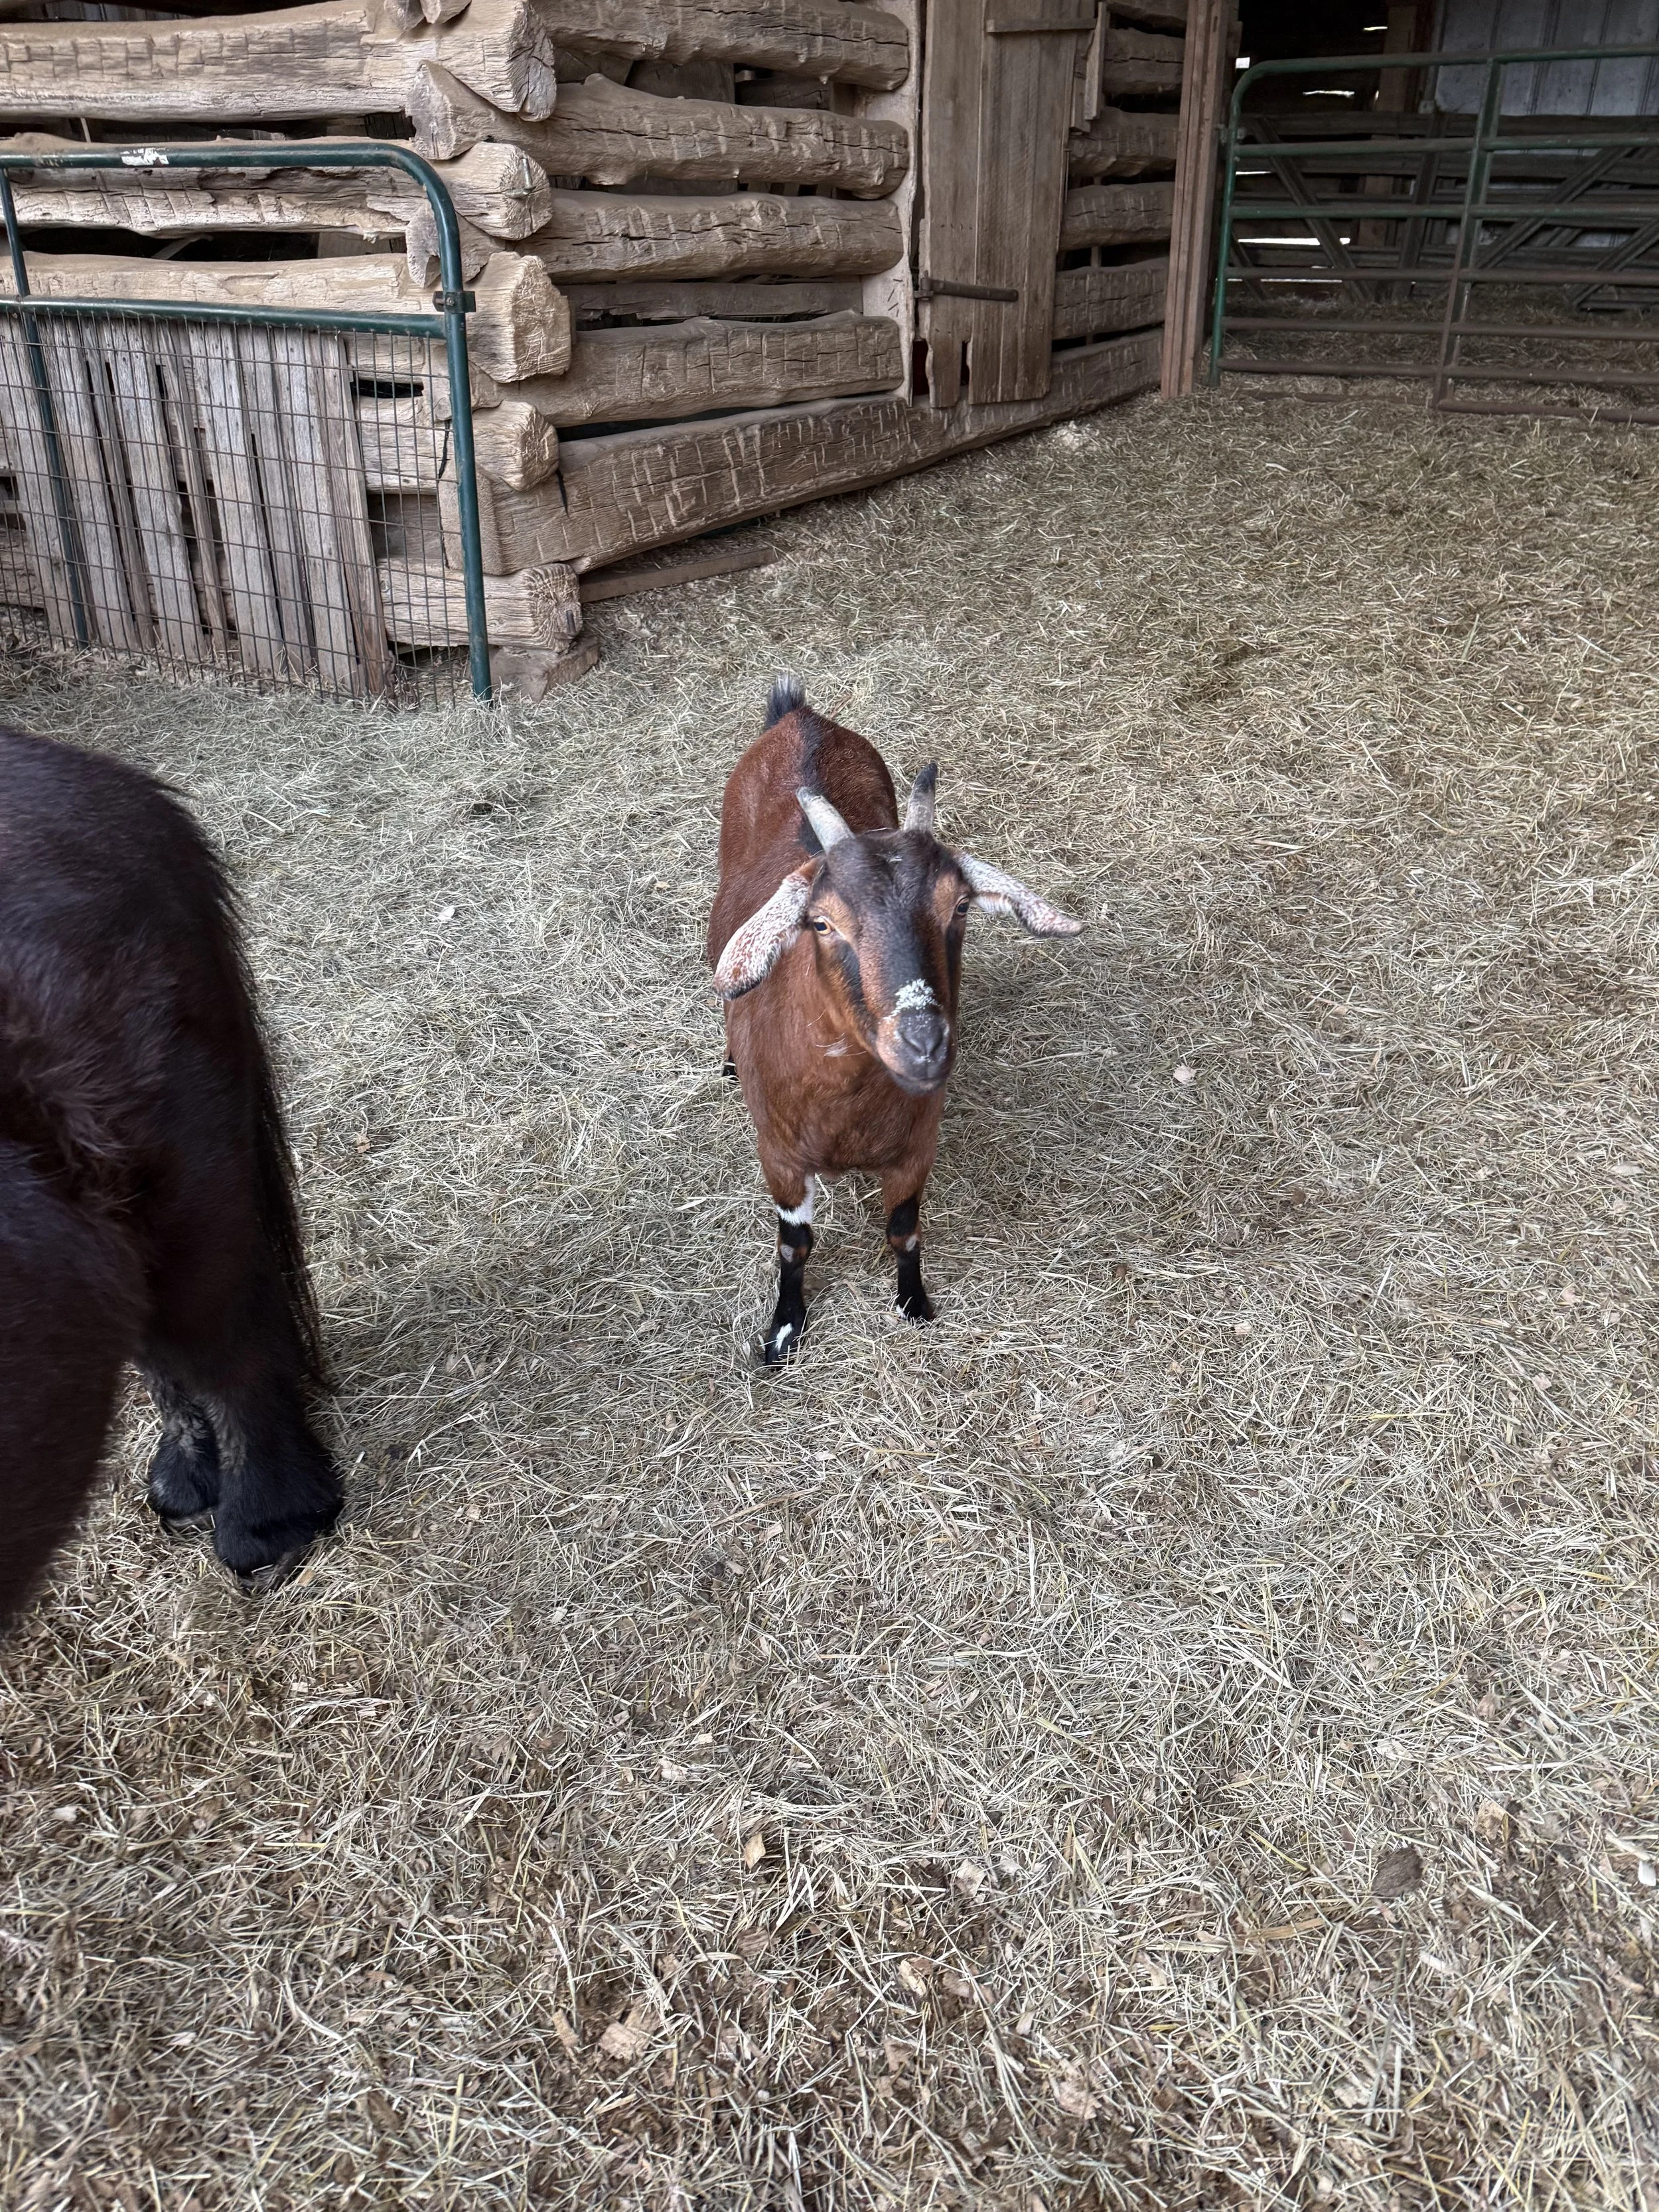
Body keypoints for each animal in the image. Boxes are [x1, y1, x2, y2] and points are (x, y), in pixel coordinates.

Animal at [707, 677, 1083, 1362]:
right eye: (820, 921)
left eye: (960, 905)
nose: (924, 1044)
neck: (847, 1109)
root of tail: (798, 716)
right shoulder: (779, 1155)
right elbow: (793, 1245)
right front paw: (784, 1329)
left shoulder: (915, 1148)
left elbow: (904, 1231)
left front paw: (914, 1303)